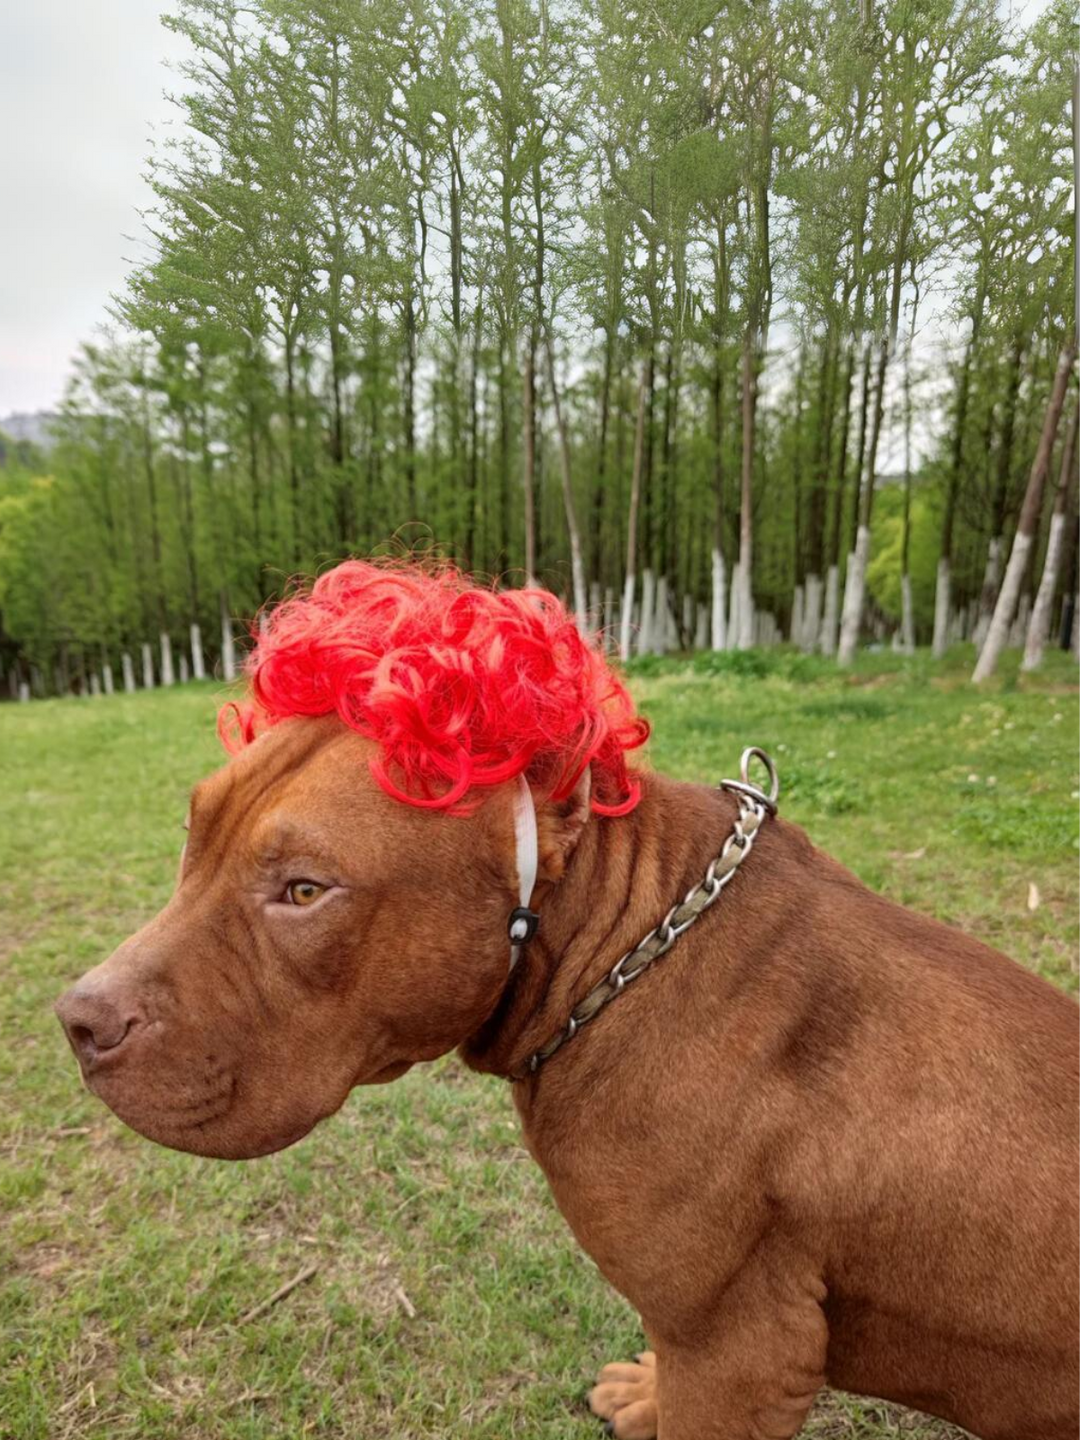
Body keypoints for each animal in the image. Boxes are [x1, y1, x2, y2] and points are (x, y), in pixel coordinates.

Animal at [57, 714, 1080, 1434]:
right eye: (193, 837)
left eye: (305, 890)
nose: (77, 1019)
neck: (623, 945)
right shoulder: (713, 1345)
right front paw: (649, 1395)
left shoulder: (741, 1352)